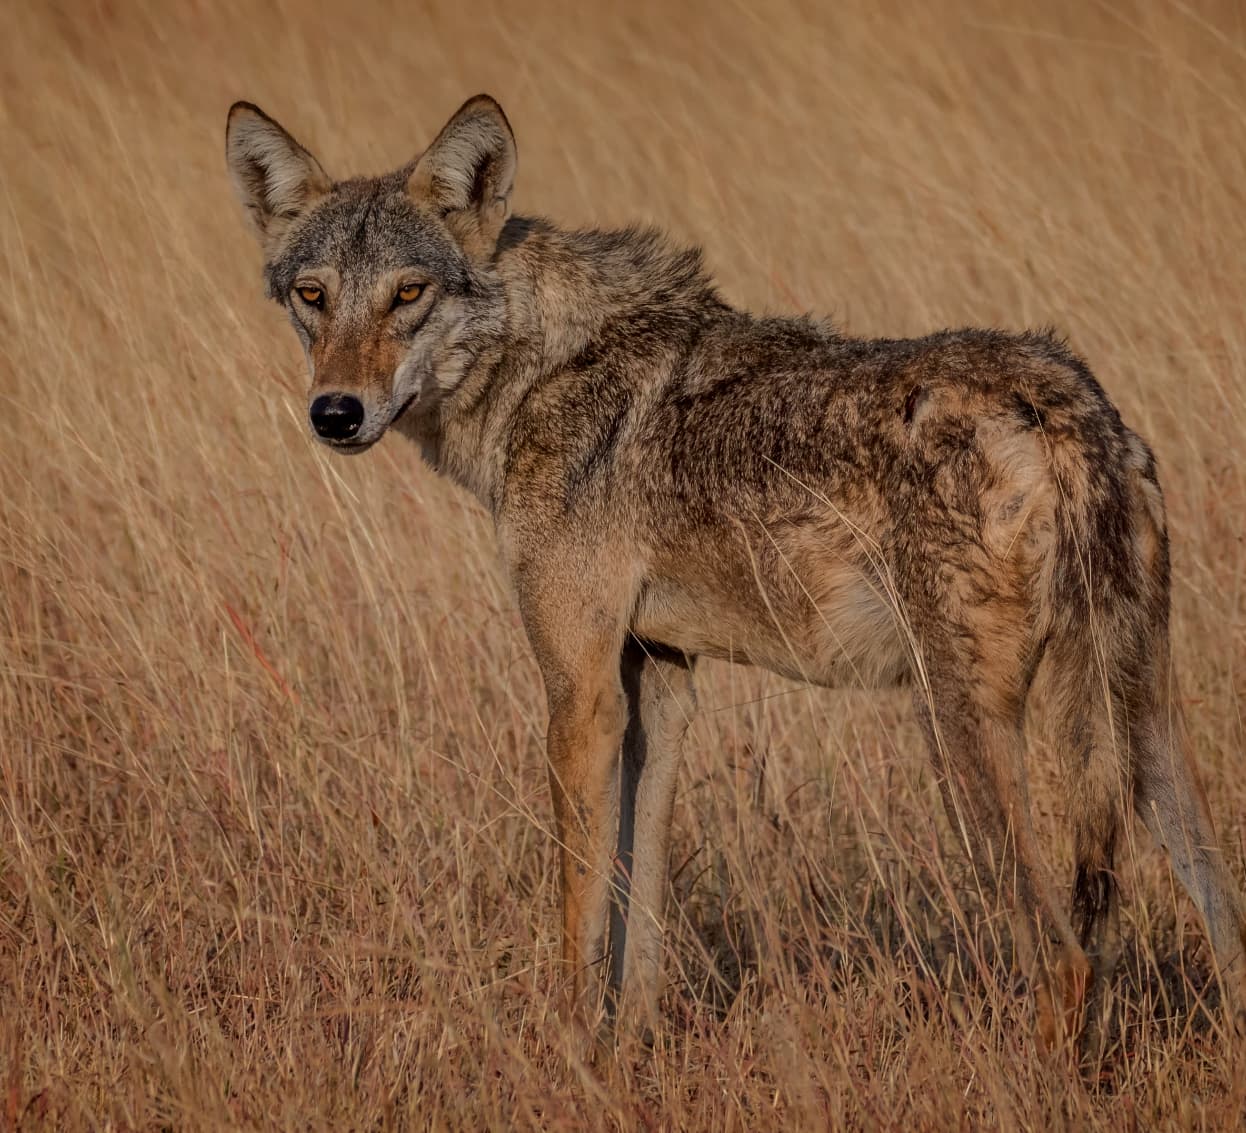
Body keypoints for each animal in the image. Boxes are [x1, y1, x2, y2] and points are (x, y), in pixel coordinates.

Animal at [226, 94, 1246, 1054]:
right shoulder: (660, 684)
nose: (335, 412)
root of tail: (1067, 399)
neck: (538, 371)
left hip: (963, 731)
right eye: (314, 296)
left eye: (408, 294)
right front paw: (630, 1053)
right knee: (1223, 923)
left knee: (1067, 956)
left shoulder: (580, 692)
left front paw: (570, 1056)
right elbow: (639, 917)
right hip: (1143, 730)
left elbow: (579, 917)